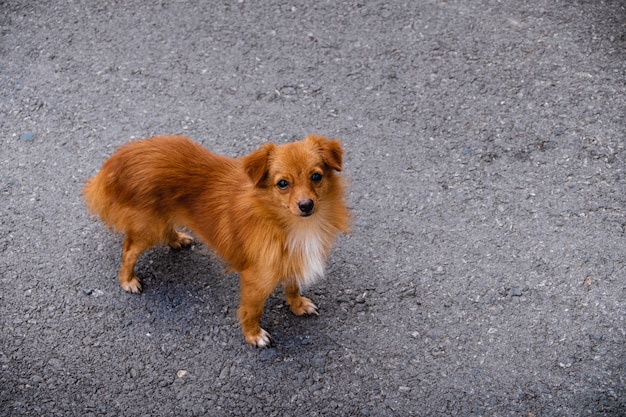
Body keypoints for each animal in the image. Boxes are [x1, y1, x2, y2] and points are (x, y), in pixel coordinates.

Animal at [81, 133, 352, 344]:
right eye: (282, 184)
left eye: (316, 176)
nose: (306, 205)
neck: (291, 224)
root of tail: (121, 158)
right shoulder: (256, 279)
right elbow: (252, 310)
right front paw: (253, 335)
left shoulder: (290, 259)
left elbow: (293, 286)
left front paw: (297, 305)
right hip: (148, 227)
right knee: (129, 250)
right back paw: (127, 280)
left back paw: (176, 239)